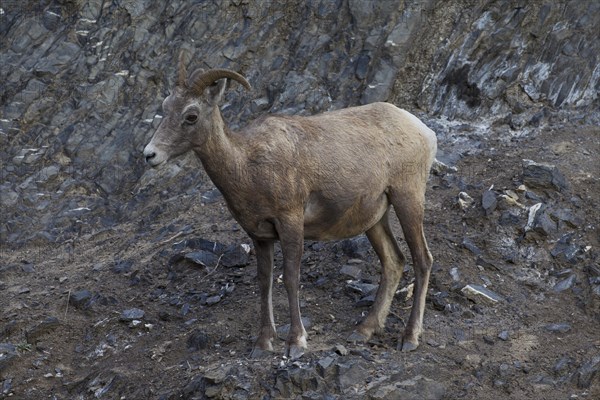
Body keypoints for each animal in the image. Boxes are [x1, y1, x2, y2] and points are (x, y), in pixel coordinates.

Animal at [145, 54, 436, 360]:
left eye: (191, 116)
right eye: (165, 107)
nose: (150, 155)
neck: (248, 166)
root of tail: (424, 131)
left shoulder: (291, 222)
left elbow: (291, 279)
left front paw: (296, 342)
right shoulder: (260, 236)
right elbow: (264, 282)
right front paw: (262, 344)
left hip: (408, 199)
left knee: (422, 260)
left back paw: (410, 337)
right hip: (374, 219)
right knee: (393, 261)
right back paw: (363, 331)